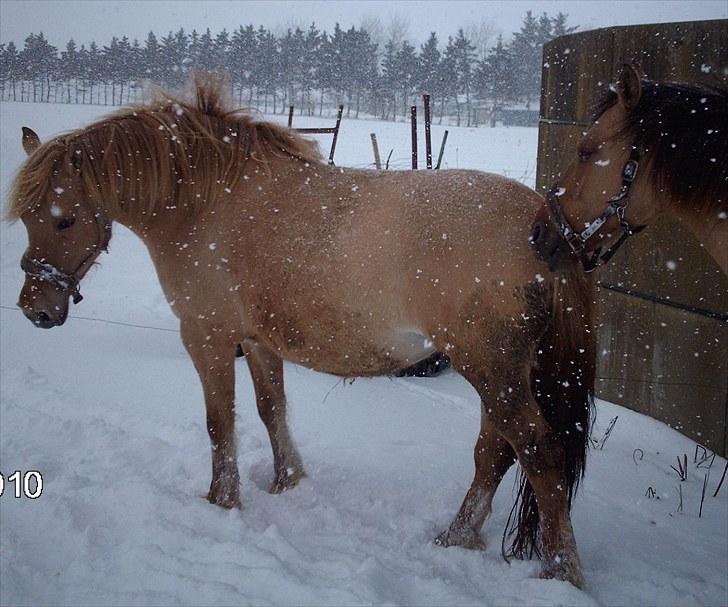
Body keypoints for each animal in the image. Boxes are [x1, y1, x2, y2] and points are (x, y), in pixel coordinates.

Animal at [8, 77, 596, 588]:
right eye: (28, 218)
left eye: (63, 219)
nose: (35, 310)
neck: (206, 201)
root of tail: (543, 221)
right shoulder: (258, 342)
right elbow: (272, 411)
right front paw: (288, 482)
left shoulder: (206, 337)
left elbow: (219, 424)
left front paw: (222, 501)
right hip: (501, 372)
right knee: (493, 453)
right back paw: (456, 537)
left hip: (492, 369)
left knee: (538, 452)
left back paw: (561, 571)